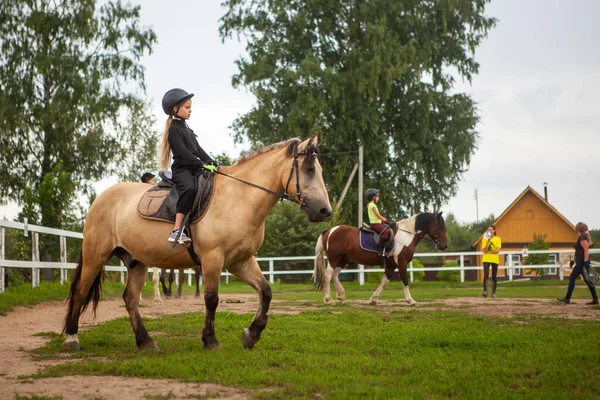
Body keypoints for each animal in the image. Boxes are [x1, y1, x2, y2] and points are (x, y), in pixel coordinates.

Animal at [63, 136, 330, 352]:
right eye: (308, 168)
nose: (324, 211)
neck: (238, 198)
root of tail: (101, 198)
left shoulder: (240, 261)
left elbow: (266, 291)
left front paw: (251, 335)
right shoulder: (213, 259)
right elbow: (211, 299)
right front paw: (211, 340)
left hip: (136, 261)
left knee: (129, 298)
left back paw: (145, 341)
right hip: (96, 255)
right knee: (81, 291)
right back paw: (72, 338)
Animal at [314, 214, 446, 304]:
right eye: (439, 226)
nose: (444, 246)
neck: (406, 235)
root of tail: (329, 231)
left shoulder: (392, 265)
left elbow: (384, 282)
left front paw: (374, 299)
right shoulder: (402, 263)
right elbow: (404, 280)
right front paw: (410, 300)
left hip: (343, 260)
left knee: (335, 275)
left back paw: (340, 295)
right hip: (333, 259)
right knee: (328, 275)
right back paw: (329, 299)